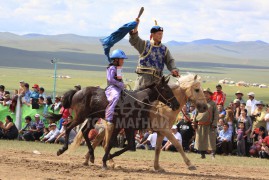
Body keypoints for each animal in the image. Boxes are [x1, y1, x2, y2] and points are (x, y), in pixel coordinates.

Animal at [46, 76, 179, 161]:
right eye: (167, 90)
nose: (176, 105)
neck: (137, 101)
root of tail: (77, 91)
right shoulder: (121, 125)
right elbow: (112, 143)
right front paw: (106, 159)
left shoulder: (128, 127)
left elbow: (130, 145)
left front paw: (108, 157)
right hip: (80, 117)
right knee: (68, 127)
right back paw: (62, 149)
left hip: (92, 118)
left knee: (84, 131)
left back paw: (92, 155)